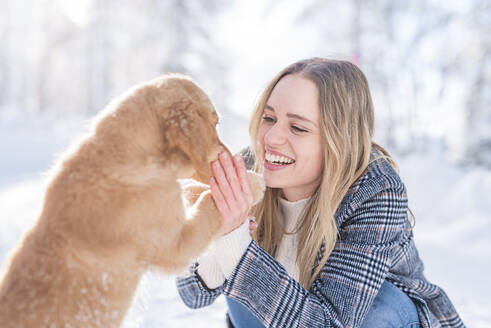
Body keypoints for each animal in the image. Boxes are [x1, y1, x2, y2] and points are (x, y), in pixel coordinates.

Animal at [0, 75, 266, 328]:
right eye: (215, 122)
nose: (234, 156)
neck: (128, 155)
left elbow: (194, 191)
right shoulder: (176, 244)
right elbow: (209, 203)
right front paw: (253, 182)